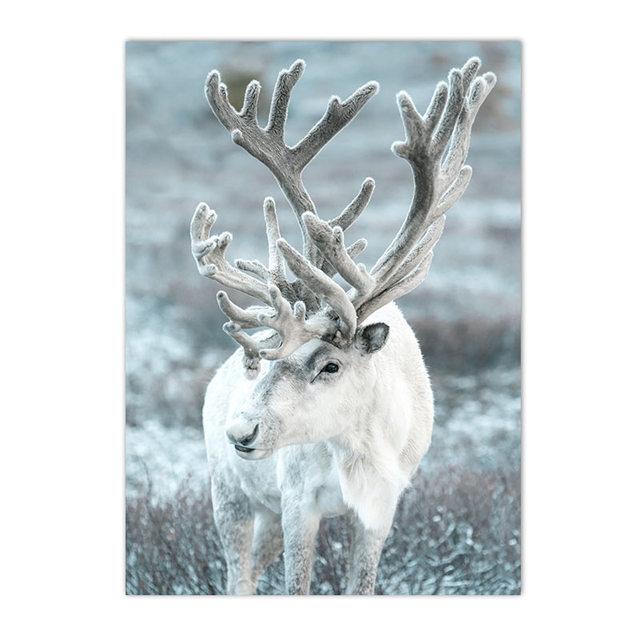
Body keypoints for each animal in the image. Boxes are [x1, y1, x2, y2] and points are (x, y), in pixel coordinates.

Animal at [190, 57, 496, 595]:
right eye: (268, 360)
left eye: (330, 365)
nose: (241, 430)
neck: (358, 451)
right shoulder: (296, 503)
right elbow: (297, 586)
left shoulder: (381, 509)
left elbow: (362, 586)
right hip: (230, 493)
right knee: (238, 578)